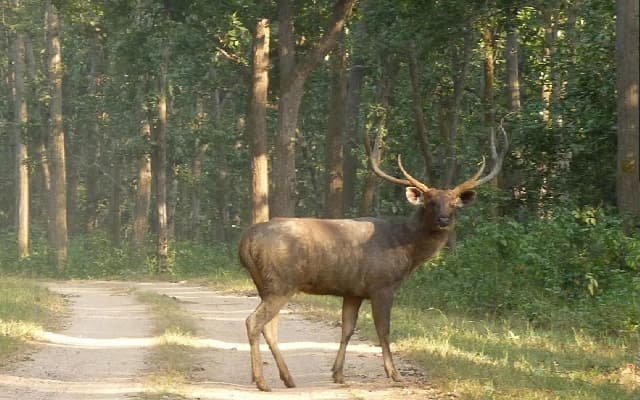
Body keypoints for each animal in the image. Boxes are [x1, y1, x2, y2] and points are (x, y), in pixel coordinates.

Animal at [238, 126, 508, 392]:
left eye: (453, 203)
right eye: (430, 202)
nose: (443, 220)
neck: (407, 249)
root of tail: (246, 242)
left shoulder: (353, 291)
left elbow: (347, 329)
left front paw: (338, 374)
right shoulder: (382, 285)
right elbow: (383, 330)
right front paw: (395, 374)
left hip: (265, 284)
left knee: (269, 327)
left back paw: (286, 378)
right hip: (281, 282)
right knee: (254, 322)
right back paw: (262, 381)